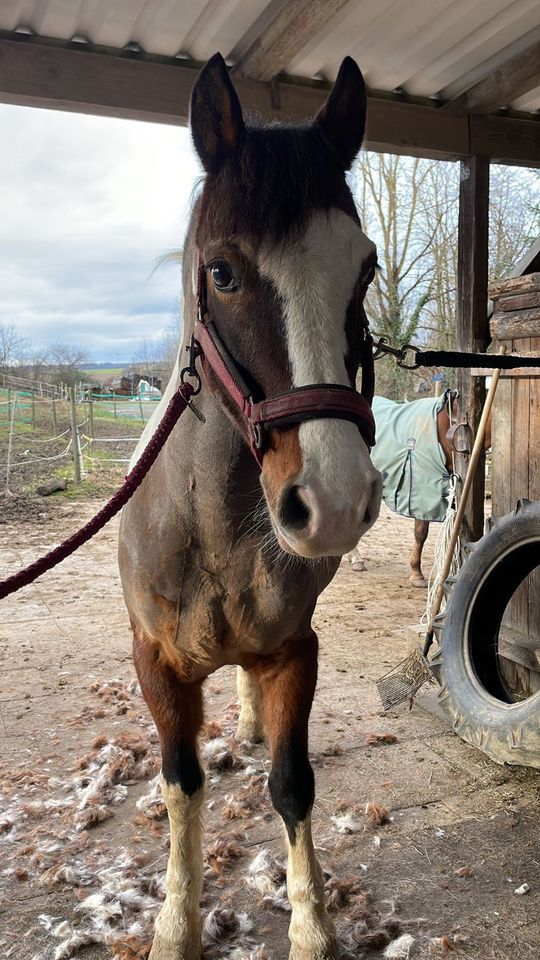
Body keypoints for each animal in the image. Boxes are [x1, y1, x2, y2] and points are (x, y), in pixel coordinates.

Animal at [119, 56, 380, 960]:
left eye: (365, 270)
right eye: (224, 272)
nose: (333, 503)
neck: (215, 535)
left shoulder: (296, 652)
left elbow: (294, 785)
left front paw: (312, 928)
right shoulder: (157, 668)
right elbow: (181, 784)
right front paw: (175, 925)